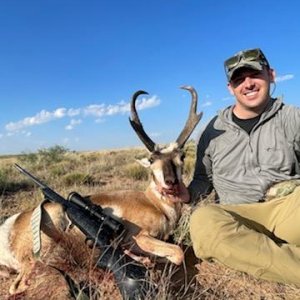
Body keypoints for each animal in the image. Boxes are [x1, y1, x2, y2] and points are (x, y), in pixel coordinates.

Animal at [0, 84, 203, 296]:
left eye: (181, 156)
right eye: (152, 159)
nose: (171, 182)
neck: (154, 204)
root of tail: (12, 224)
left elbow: (179, 250)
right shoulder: (139, 237)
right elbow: (178, 253)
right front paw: (144, 258)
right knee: (17, 285)